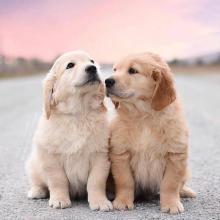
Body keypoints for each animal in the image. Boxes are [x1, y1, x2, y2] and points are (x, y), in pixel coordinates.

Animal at [26, 50, 112, 211]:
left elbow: (96, 181)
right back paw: (37, 191)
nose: (92, 68)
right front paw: (59, 200)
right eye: (70, 65)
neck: (79, 114)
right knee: (37, 181)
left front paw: (100, 201)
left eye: (92, 61)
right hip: (33, 164)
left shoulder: (100, 155)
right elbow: (58, 180)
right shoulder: (51, 157)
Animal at [105, 51, 196, 213]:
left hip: (186, 169)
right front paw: (122, 202)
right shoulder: (121, 154)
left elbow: (170, 184)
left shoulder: (175, 155)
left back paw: (186, 191)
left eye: (133, 70)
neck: (144, 116)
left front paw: (171, 204)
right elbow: (125, 181)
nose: (107, 81)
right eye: (115, 70)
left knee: (180, 184)